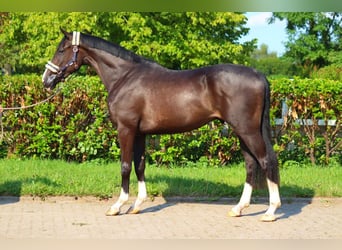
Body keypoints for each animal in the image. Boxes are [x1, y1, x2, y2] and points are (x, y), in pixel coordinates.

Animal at [42, 29, 280, 223]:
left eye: (61, 50)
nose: (46, 80)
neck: (125, 77)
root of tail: (258, 75)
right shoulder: (140, 133)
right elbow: (140, 166)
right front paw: (137, 205)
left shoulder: (126, 129)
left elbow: (125, 166)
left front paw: (117, 206)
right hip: (242, 132)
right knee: (251, 164)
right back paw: (238, 209)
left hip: (247, 131)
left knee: (265, 161)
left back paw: (270, 211)